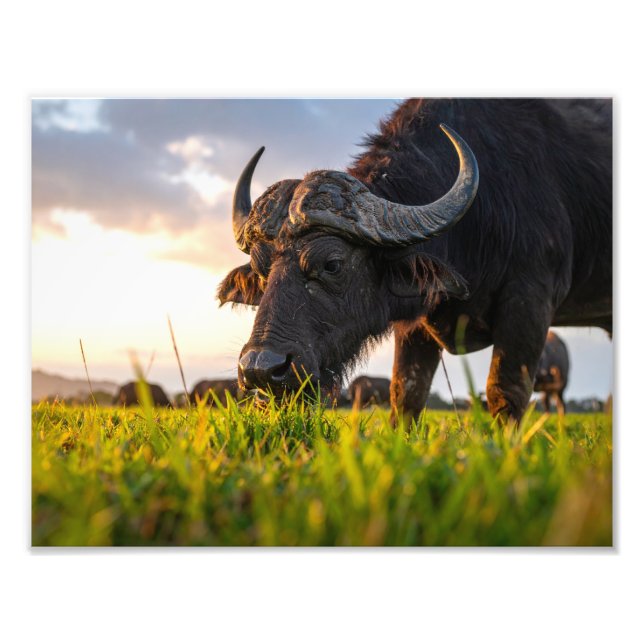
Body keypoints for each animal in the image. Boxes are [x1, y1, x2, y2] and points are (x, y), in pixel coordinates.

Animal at [218, 99, 611, 423]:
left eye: (332, 264)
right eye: (261, 270)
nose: (260, 369)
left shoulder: (531, 301)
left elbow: (506, 392)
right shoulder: (417, 322)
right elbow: (406, 394)